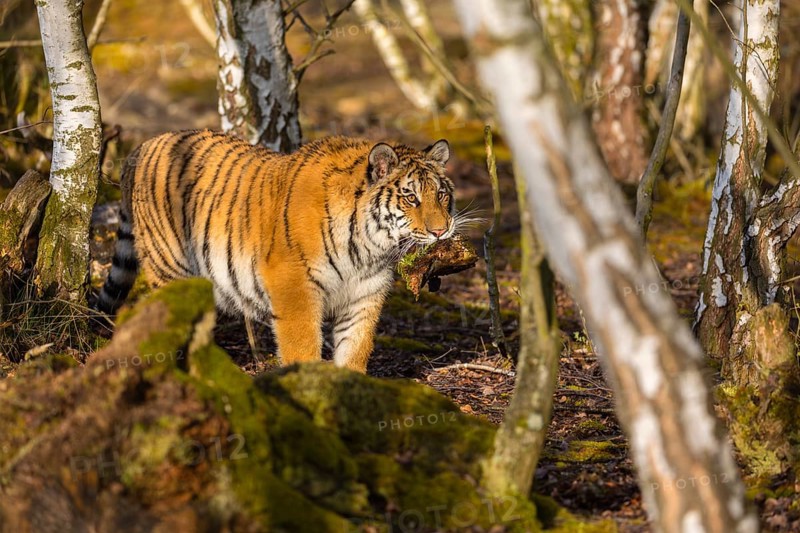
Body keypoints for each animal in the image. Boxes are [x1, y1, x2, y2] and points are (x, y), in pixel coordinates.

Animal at [97, 129, 460, 373]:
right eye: (411, 198)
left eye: (441, 195)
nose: (441, 230)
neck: (370, 248)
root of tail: (142, 147)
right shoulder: (294, 286)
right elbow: (303, 347)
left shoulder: (364, 295)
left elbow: (355, 350)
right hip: (170, 269)